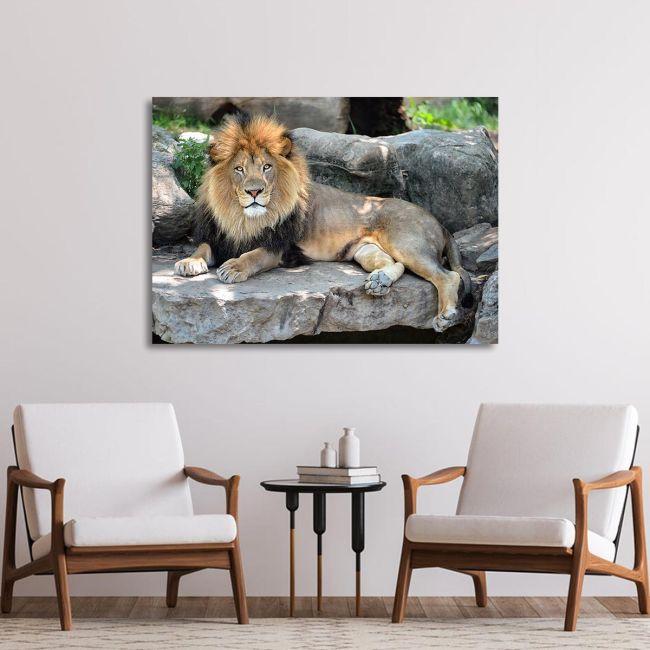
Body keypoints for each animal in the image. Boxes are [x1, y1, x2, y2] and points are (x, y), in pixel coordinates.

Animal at [174, 113, 472, 332]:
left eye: (267, 167)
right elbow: (202, 247)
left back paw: (446, 315)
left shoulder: (281, 248)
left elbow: (254, 255)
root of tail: (438, 221)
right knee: (393, 263)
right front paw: (189, 262)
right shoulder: (218, 237)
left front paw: (234, 267)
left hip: (406, 242)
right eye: (239, 169)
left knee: (449, 275)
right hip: (365, 251)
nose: (254, 191)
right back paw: (379, 282)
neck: (242, 219)